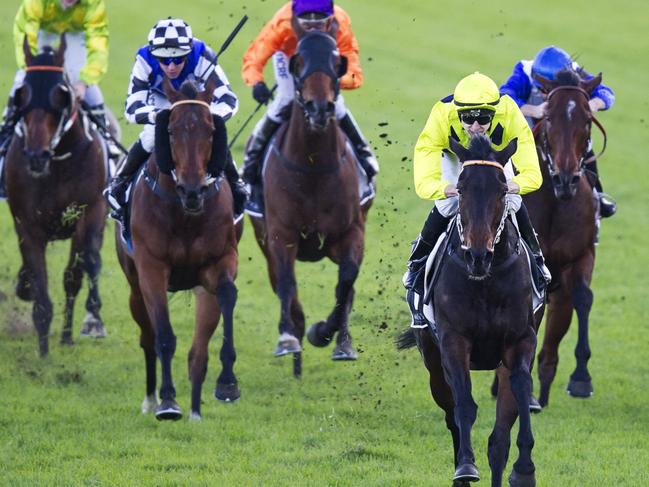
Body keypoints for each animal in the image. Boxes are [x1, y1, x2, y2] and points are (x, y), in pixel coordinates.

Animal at [5, 38, 107, 356]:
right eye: (22, 94)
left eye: (60, 94)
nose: (36, 156)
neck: (58, 162)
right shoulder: (27, 224)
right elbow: (39, 286)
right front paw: (43, 352)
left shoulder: (89, 211)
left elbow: (78, 272)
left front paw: (73, 332)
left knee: (83, 268)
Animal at [114, 78, 240, 422]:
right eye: (170, 130)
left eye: (210, 130)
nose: (192, 189)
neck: (185, 214)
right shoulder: (152, 269)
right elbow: (165, 337)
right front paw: (168, 402)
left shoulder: (218, 262)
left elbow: (227, 295)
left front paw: (227, 383)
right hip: (134, 287)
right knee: (148, 337)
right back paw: (152, 399)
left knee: (198, 351)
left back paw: (196, 410)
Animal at [394, 133, 540, 487]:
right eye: (460, 189)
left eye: (502, 191)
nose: (477, 255)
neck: (486, 279)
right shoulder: (453, 340)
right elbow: (463, 405)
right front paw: (466, 466)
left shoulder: (521, 339)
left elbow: (521, 393)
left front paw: (525, 469)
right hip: (433, 362)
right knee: (450, 413)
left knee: (499, 437)